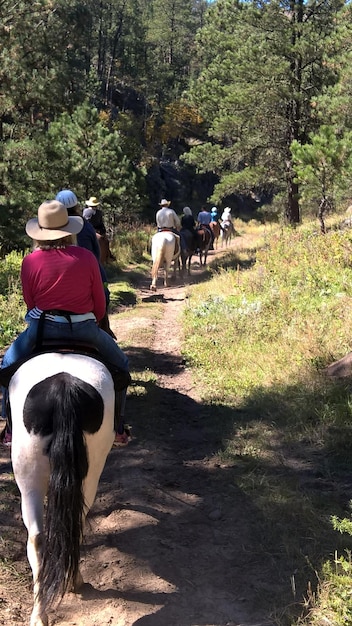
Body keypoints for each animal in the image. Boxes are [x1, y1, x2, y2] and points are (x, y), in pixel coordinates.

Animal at [5, 352, 115, 624]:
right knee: (60, 529)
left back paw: (43, 610)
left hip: (29, 478)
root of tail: (63, 389)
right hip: (86, 474)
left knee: (39, 537)